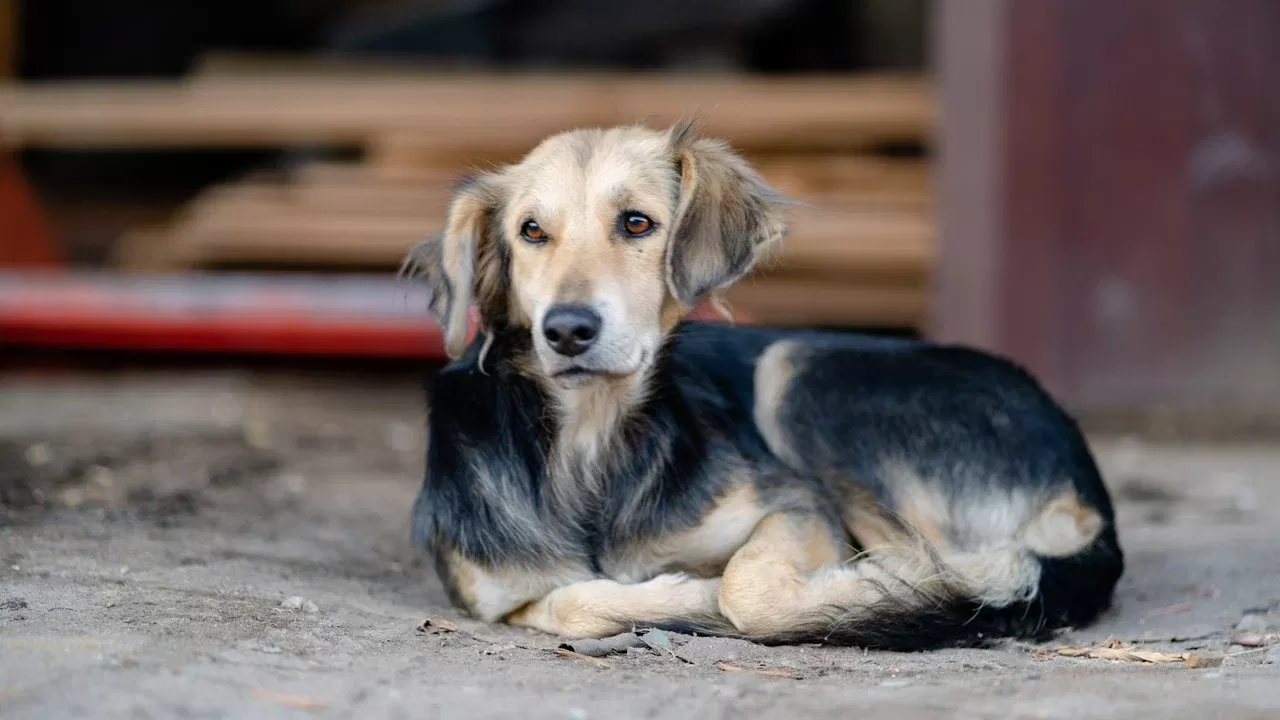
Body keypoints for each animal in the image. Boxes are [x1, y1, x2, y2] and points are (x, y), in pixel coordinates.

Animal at [404, 120, 1126, 648]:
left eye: (636, 222)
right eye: (532, 231)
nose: (567, 329)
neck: (590, 442)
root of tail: (1086, 473)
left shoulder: (796, 502)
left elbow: (745, 589)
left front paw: (710, 594)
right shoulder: (492, 593)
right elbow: (567, 601)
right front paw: (674, 595)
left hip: (800, 373)